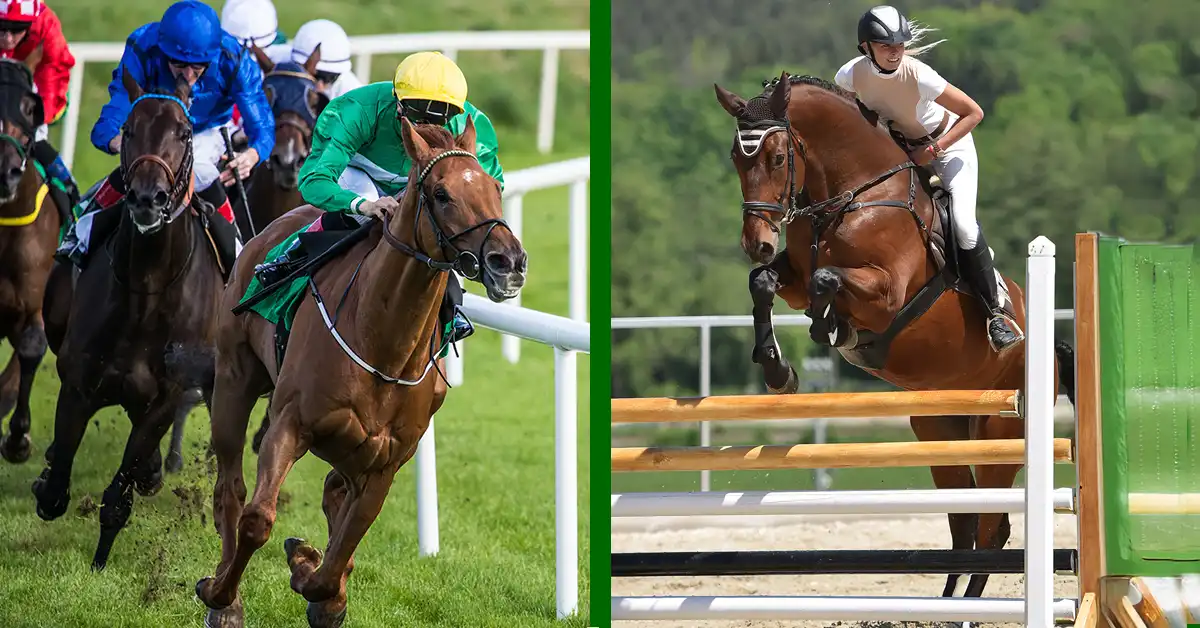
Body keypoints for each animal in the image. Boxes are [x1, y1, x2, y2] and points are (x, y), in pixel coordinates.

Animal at [32, 68, 225, 571]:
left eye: (184, 132)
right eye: (130, 128)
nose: (145, 198)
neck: (147, 290)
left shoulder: (166, 398)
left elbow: (120, 491)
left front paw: (100, 561)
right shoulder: (79, 382)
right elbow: (56, 486)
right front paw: (46, 479)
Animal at [195, 118, 526, 627]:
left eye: (495, 187)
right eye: (441, 194)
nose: (508, 262)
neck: (382, 343)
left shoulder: (386, 459)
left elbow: (343, 548)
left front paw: (313, 576)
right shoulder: (289, 424)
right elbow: (258, 520)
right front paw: (221, 592)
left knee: (333, 493)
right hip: (235, 378)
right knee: (230, 488)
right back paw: (226, 600)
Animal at [713, 72, 1076, 604]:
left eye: (778, 158)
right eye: (737, 158)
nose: (755, 242)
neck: (850, 195)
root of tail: (1047, 351)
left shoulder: (885, 293)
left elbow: (826, 279)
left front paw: (832, 328)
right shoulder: (793, 277)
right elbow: (764, 281)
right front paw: (778, 369)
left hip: (1000, 433)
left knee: (993, 528)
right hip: (940, 431)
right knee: (966, 524)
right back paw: (948, 603)